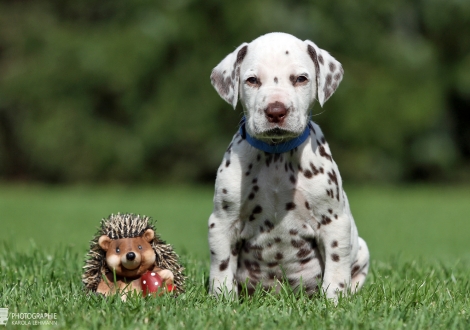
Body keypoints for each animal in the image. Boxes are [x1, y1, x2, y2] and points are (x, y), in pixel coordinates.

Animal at [207, 32, 370, 300]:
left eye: (300, 79)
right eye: (252, 80)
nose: (276, 111)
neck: (276, 154)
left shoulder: (334, 222)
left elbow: (336, 266)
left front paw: (334, 300)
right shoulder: (222, 222)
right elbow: (221, 265)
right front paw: (222, 299)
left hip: (363, 251)